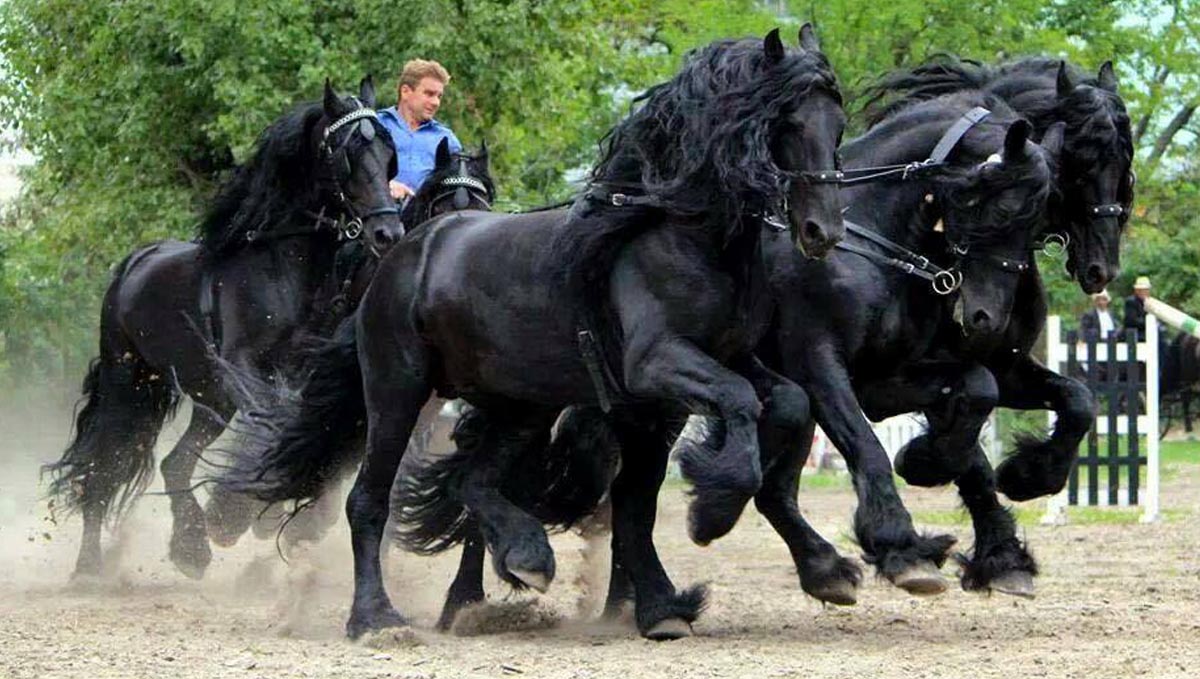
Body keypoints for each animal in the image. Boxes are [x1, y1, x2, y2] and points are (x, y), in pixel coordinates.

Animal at [43, 78, 408, 580]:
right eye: (349, 151)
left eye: (388, 153)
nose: (388, 233)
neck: (281, 268)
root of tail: (131, 265)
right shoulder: (245, 369)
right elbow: (270, 423)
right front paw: (235, 514)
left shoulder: (301, 372)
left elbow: (296, 424)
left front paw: (265, 512)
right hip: (129, 383)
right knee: (105, 461)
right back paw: (90, 566)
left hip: (209, 399)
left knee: (174, 463)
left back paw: (190, 548)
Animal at [223, 27, 844, 643]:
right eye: (788, 122)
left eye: (837, 124)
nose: (823, 230)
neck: (679, 234)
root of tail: (402, 255)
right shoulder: (658, 364)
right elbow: (729, 410)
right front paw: (711, 512)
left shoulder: (715, 366)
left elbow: (785, 404)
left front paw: (817, 566)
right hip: (398, 392)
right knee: (368, 500)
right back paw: (377, 618)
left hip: (520, 406)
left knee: (471, 483)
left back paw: (521, 561)